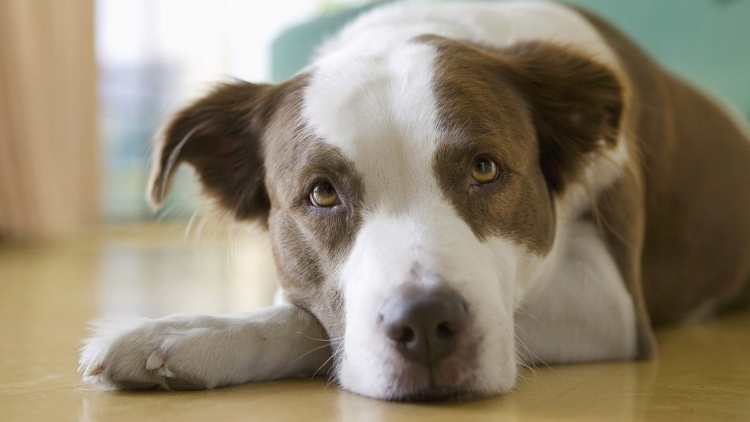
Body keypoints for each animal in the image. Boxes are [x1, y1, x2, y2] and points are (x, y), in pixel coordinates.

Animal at [81, 0, 750, 402]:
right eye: (322, 193)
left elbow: (310, 324)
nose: (427, 324)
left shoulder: (614, 305)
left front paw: (185, 335)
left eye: (485, 168)